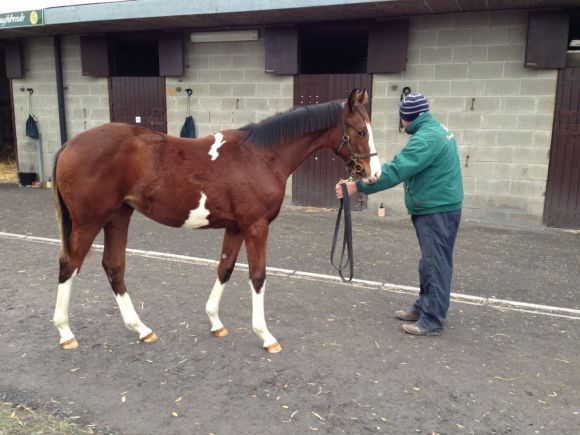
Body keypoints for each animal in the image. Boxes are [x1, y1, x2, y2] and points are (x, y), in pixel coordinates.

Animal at [52, 88, 382, 354]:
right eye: (360, 131)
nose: (374, 174)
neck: (261, 156)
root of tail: (70, 144)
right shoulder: (256, 226)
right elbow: (257, 276)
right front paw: (266, 336)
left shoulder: (236, 227)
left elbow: (225, 269)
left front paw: (215, 322)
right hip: (89, 222)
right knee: (69, 265)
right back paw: (65, 332)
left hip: (118, 216)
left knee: (114, 267)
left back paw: (142, 329)